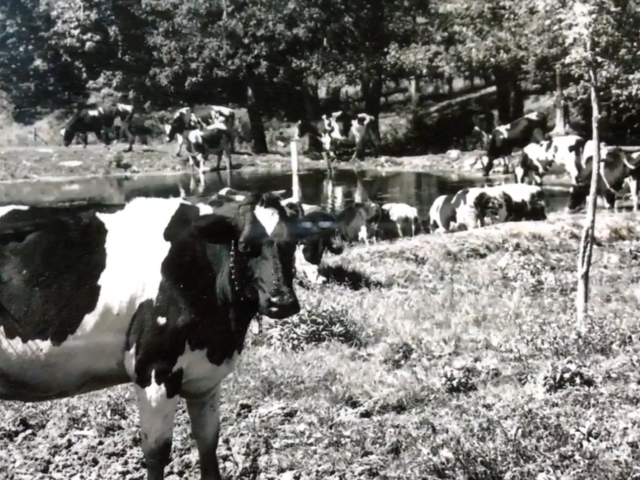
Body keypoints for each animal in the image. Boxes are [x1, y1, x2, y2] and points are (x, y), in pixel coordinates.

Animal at [0, 193, 314, 480]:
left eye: (291, 244)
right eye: (247, 246)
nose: (282, 302)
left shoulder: (205, 380)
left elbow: (208, 445)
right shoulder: (155, 369)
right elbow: (157, 452)